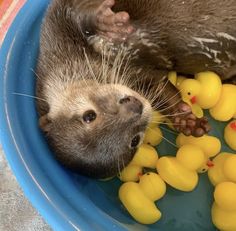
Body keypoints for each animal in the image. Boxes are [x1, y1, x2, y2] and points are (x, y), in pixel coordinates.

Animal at [36, 0, 235, 178]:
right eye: (135, 140)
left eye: (89, 116)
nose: (135, 107)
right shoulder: (144, 79)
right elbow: (162, 91)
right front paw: (185, 119)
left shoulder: (54, 27)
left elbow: (75, 10)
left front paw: (106, 21)